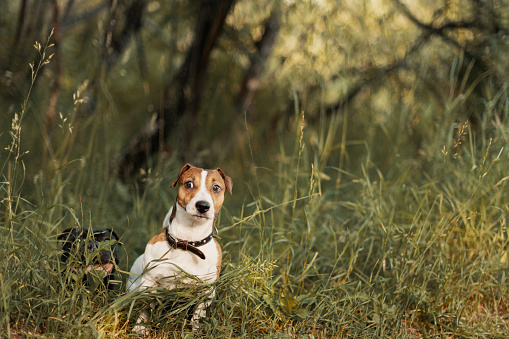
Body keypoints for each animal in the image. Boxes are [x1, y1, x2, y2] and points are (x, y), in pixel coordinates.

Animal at [127, 163, 232, 334]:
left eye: (216, 187)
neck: (188, 242)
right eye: (189, 184)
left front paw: (195, 330)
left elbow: (198, 314)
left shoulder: (206, 290)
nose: (203, 206)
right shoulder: (149, 282)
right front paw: (140, 328)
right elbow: (146, 308)